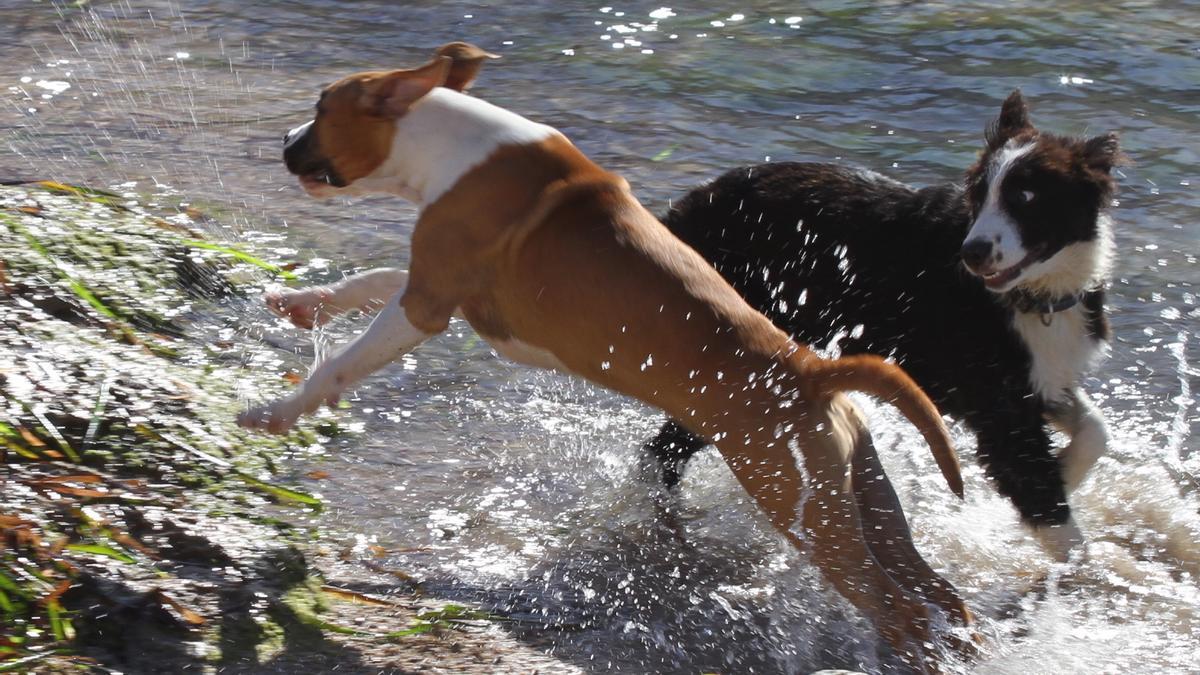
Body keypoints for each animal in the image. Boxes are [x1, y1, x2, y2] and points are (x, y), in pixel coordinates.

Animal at [241, 47, 974, 667]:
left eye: (321, 108)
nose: (284, 141)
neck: (451, 144)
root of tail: (810, 370)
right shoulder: (439, 290)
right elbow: (368, 280)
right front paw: (302, 300)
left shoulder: (426, 303)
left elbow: (340, 362)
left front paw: (279, 411)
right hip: (863, 501)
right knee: (939, 595)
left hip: (804, 509)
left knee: (900, 608)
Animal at [652, 91, 1118, 559]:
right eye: (980, 193)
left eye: (1025, 196)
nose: (972, 253)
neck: (1037, 296)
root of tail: (684, 209)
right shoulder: (1000, 413)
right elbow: (1059, 523)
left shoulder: (1040, 379)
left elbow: (1097, 430)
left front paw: (1067, 470)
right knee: (668, 447)